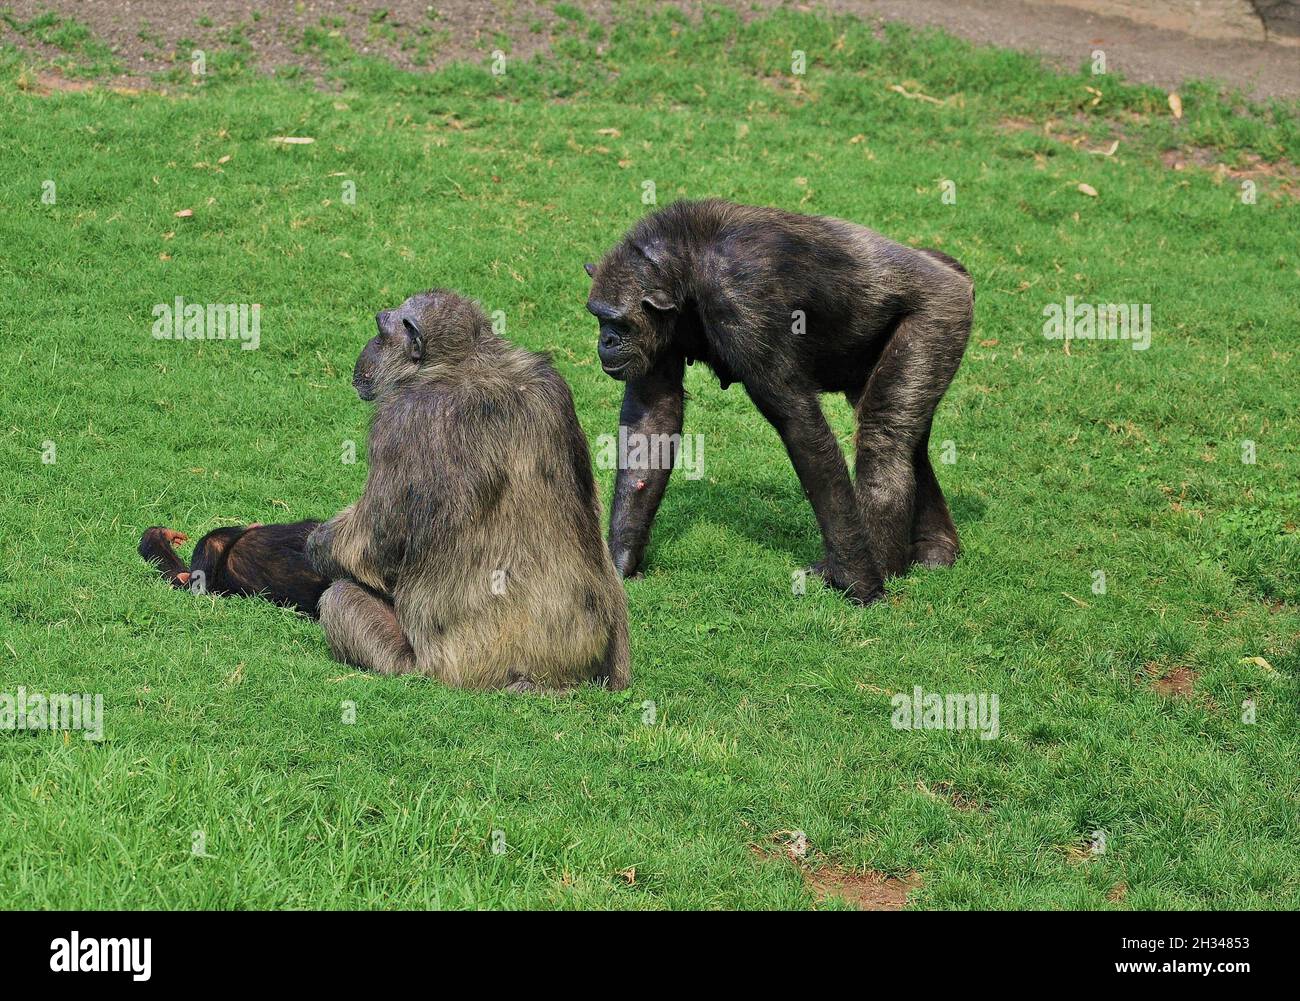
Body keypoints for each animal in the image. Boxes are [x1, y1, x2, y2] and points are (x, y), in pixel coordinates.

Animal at [585, 196, 972, 600]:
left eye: (619, 322)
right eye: (598, 316)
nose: (606, 340)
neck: (687, 264)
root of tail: (953, 271)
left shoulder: (745, 304)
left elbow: (802, 430)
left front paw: (861, 584)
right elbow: (651, 421)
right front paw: (619, 566)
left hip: (937, 320)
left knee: (883, 439)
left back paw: (876, 567)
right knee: (912, 443)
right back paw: (935, 550)